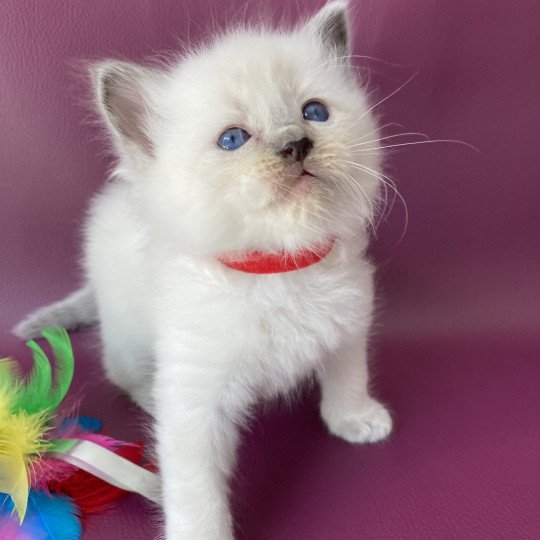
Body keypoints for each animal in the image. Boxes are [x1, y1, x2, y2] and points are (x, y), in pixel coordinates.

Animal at [13, 2, 392, 536]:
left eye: (314, 112)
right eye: (233, 139)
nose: (296, 143)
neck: (278, 269)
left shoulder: (350, 321)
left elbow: (347, 375)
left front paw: (353, 419)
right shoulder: (196, 397)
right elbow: (195, 489)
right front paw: (202, 533)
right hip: (129, 333)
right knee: (119, 368)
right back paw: (149, 397)